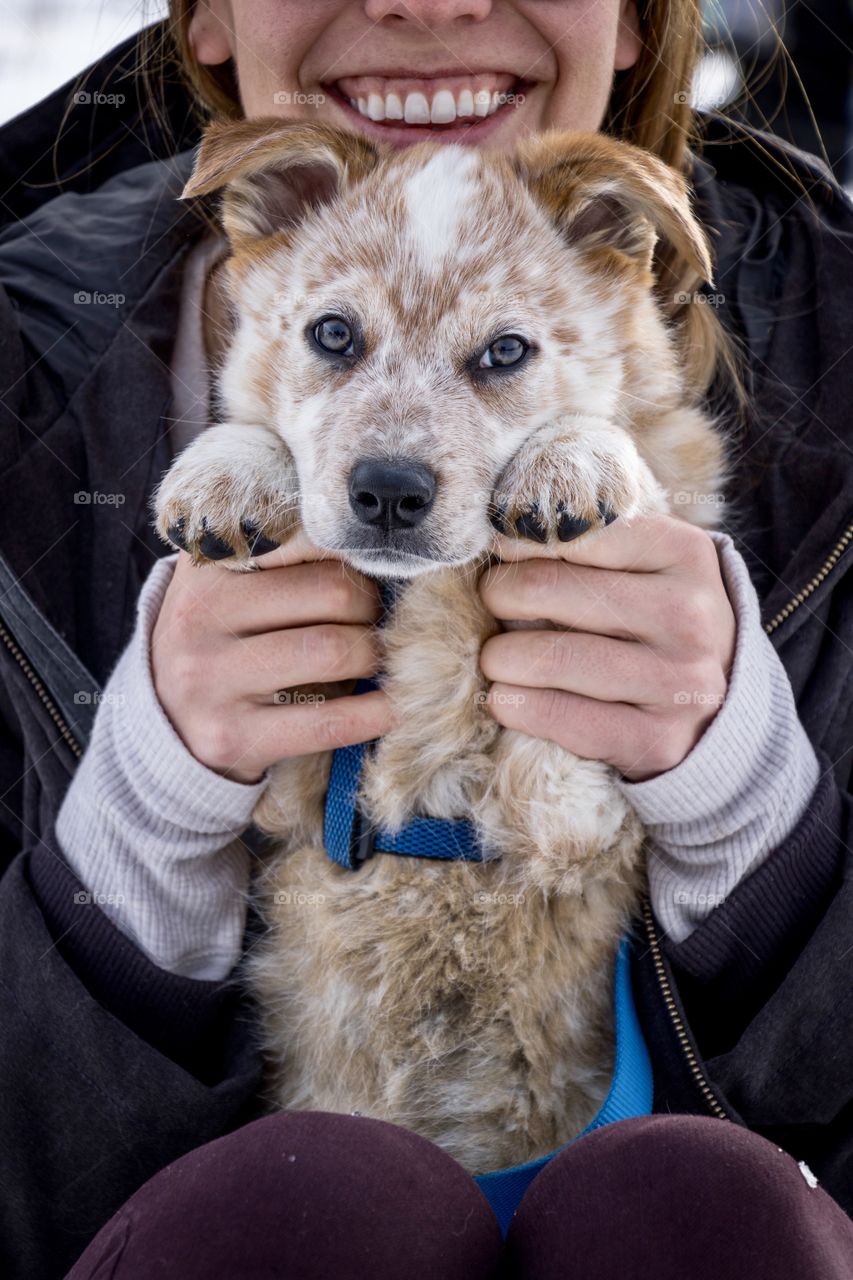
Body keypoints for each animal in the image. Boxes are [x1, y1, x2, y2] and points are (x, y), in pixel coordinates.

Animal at [153, 122, 722, 1177]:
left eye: (505, 351)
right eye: (333, 335)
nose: (386, 489)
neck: (418, 602)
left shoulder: (577, 824)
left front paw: (575, 456)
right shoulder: (288, 799)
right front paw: (234, 469)